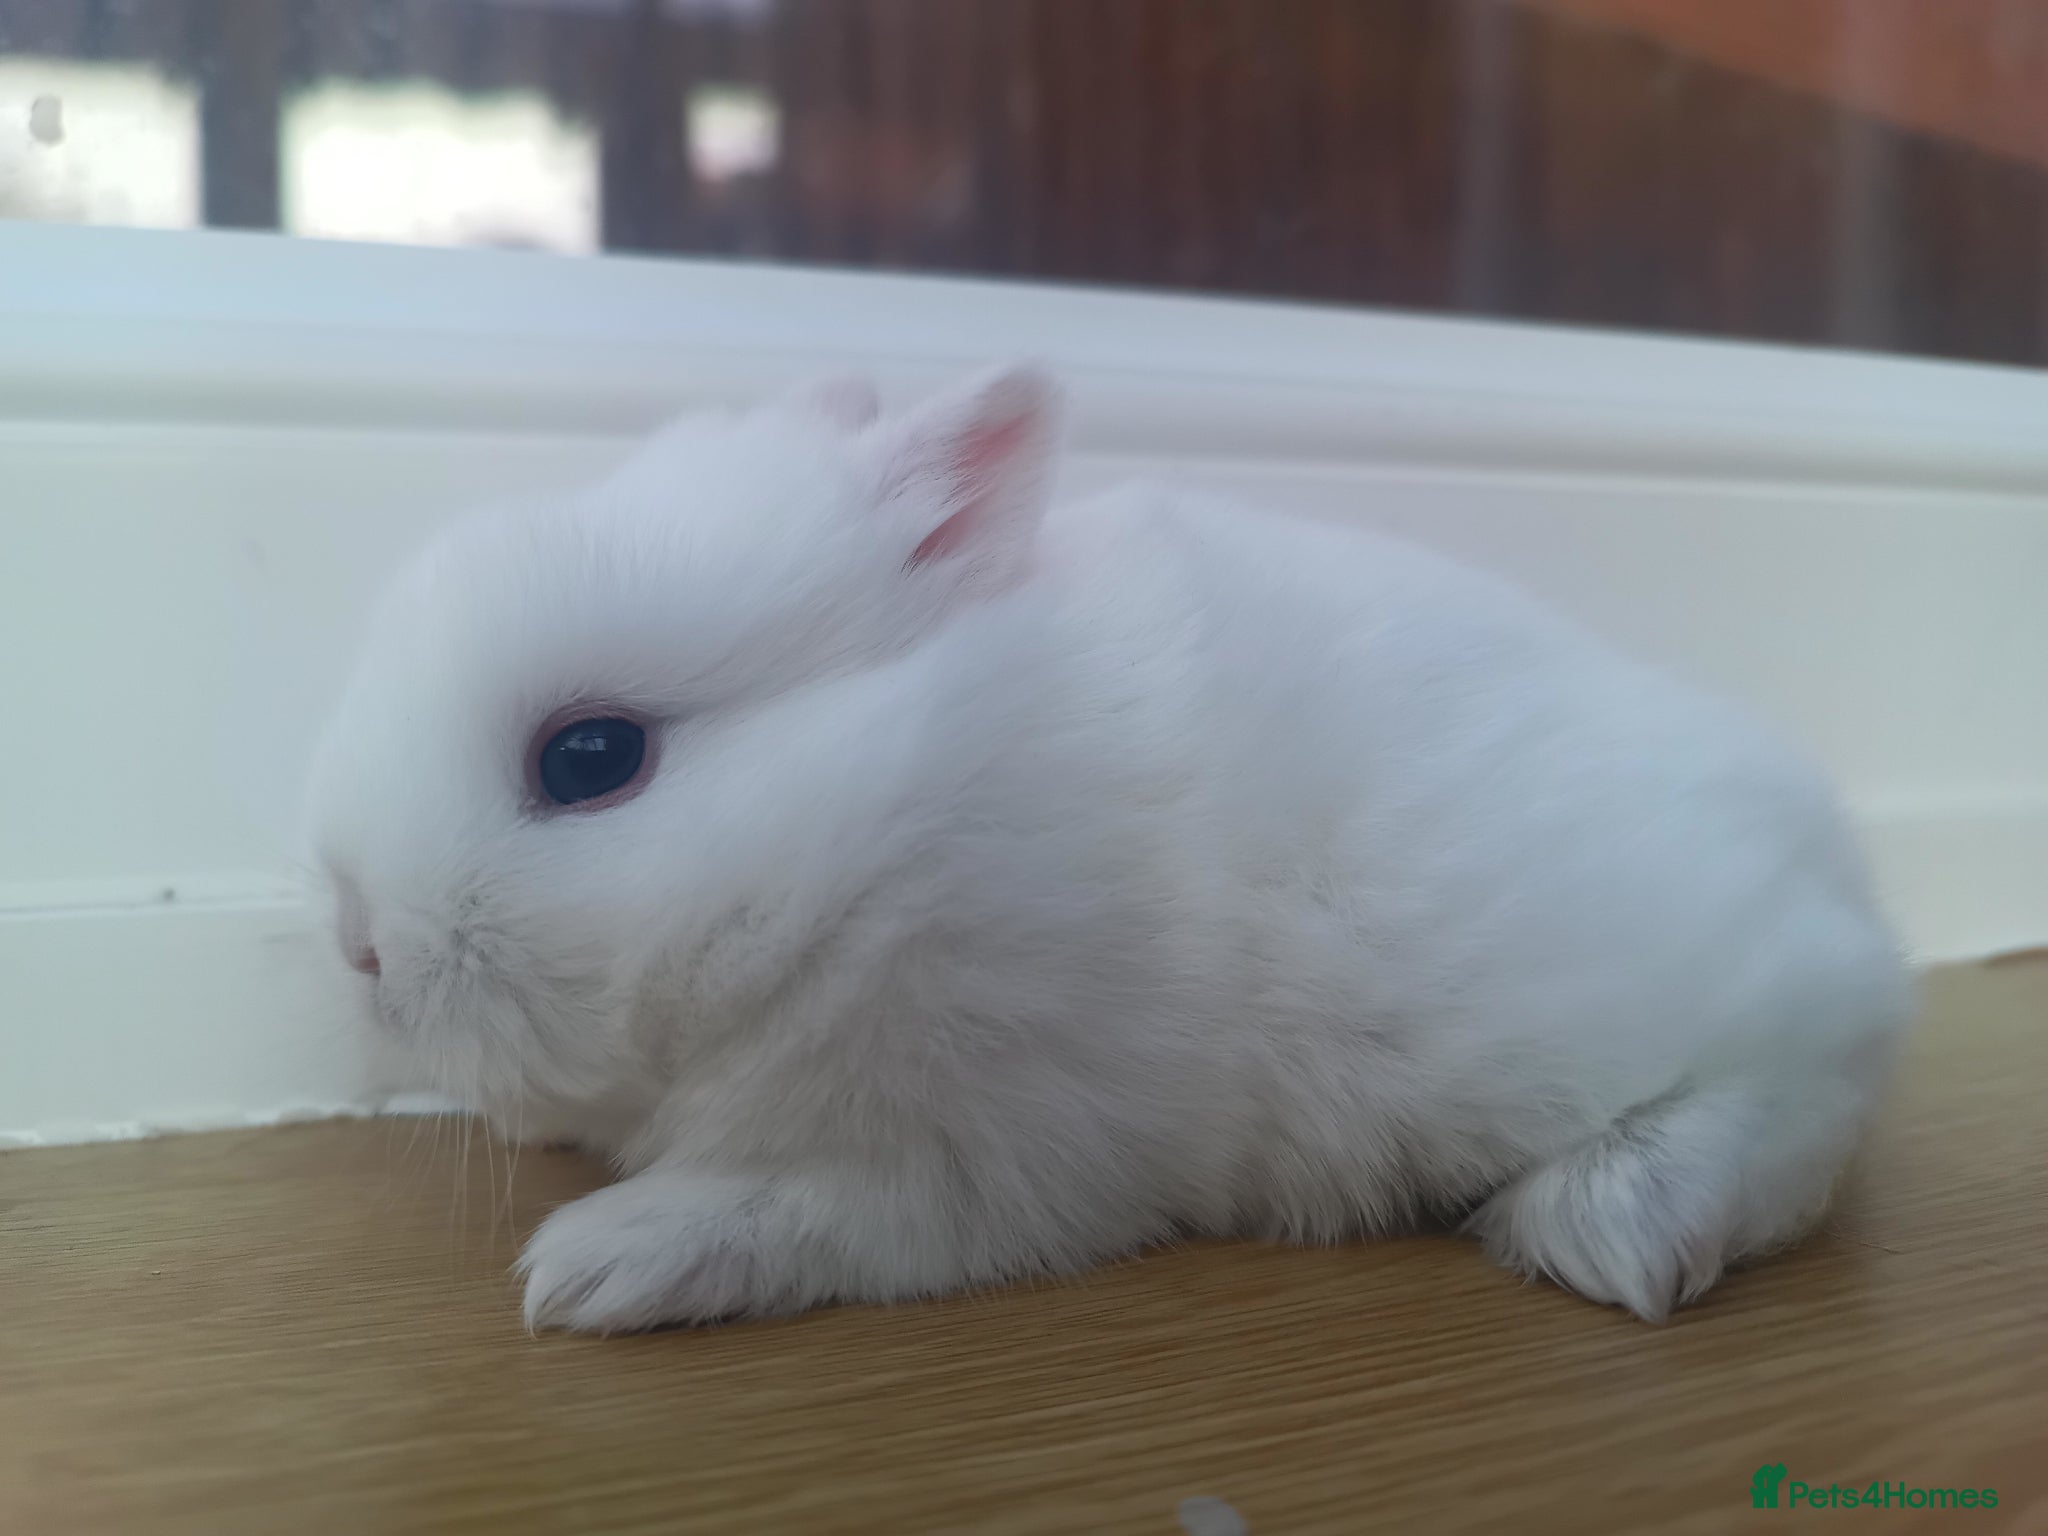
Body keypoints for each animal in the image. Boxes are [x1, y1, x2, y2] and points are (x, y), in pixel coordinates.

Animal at [307, 365, 1913, 1334]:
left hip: (1683, 1002)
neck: (880, 824)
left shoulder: (976, 1153)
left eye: (591, 760)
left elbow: (791, 1209)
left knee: (1804, 1077)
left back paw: (1612, 1227)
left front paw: (590, 1267)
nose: (361, 946)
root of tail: (1839, 873)